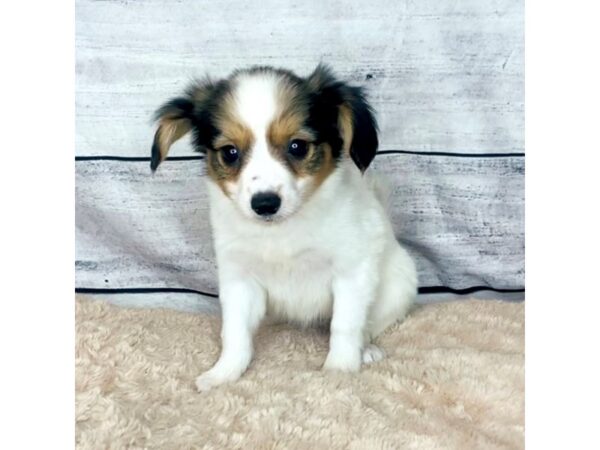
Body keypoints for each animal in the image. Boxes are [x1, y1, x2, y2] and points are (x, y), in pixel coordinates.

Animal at [150, 63, 418, 390]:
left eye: (297, 146)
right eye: (229, 152)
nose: (265, 204)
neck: (280, 231)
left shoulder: (351, 271)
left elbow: (345, 325)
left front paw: (339, 371)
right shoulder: (239, 278)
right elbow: (235, 332)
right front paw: (223, 374)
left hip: (397, 287)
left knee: (368, 324)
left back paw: (365, 350)